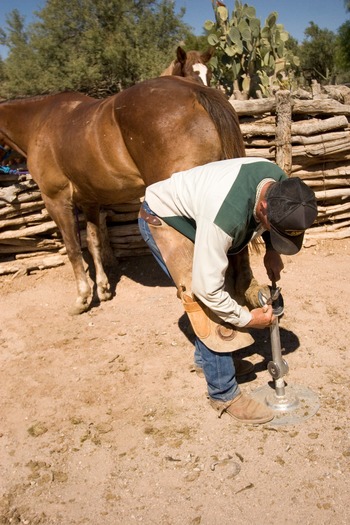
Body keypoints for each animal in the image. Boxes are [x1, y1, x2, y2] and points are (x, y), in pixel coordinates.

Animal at [0, 75, 245, 314]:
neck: (39, 121)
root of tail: (195, 91)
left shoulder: (56, 199)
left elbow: (72, 248)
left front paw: (82, 298)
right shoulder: (89, 201)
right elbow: (93, 242)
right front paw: (103, 289)